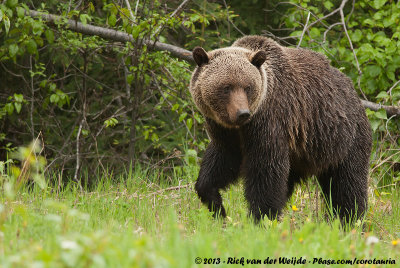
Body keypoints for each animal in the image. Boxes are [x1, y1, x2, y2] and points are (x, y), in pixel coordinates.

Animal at [190, 34, 372, 223]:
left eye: (248, 87)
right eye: (226, 87)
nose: (243, 113)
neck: (241, 126)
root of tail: (355, 94)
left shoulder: (270, 122)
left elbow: (266, 172)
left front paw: (261, 217)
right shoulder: (225, 133)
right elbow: (220, 163)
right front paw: (217, 206)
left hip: (343, 140)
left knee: (346, 184)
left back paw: (350, 219)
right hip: (303, 156)